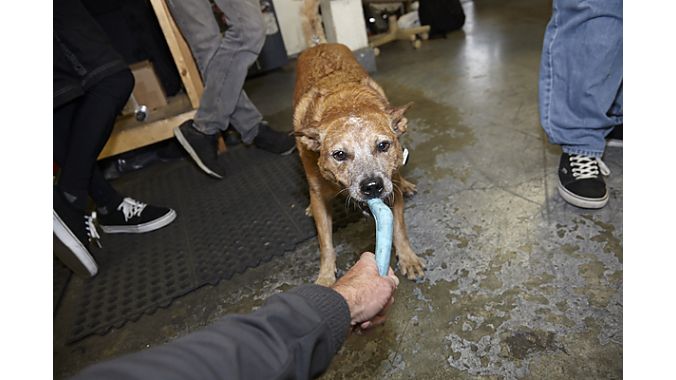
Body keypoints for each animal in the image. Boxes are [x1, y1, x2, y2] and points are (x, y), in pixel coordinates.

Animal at [292, 42, 422, 284]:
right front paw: (326, 276)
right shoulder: (320, 199)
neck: (345, 105)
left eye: (383, 145)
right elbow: (325, 243)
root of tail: (320, 44)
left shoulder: (392, 191)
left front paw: (408, 257)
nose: (372, 187)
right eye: (339, 154)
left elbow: (399, 227)